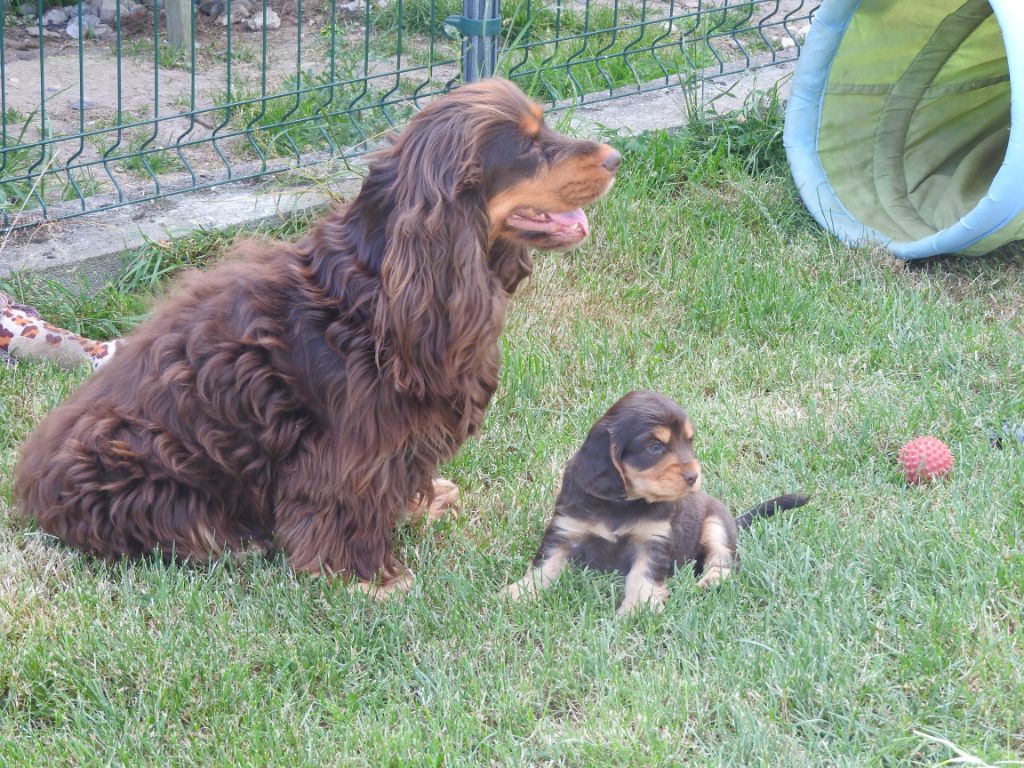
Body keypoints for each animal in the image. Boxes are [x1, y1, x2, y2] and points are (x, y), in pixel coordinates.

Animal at [14, 78, 614, 593]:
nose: (615, 158)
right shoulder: (349, 448)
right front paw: (369, 577)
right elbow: (344, 505)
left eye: (545, 128)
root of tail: (32, 489)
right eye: (528, 147)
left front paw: (419, 505)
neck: (375, 289)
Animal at [503, 393, 806, 618]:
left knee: (723, 560)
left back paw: (711, 581)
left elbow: (641, 576)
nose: (694, 476)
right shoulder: (565, 531)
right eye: (655, 447)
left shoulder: (653, 541)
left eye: (688, 442)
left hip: (716, 522)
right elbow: (544, 567)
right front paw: (518, 594)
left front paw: (637, 610)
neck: (623, 504)